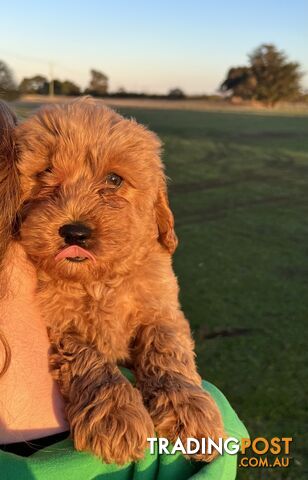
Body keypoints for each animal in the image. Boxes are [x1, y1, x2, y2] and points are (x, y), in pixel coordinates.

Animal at [10, 96, 221, 462]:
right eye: (45, 173)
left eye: (113, 179)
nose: (75, 232)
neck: (99, 281)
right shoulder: (59, 324)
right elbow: (88, 357)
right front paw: (116, 416)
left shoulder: (161, 307)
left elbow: (167, 348)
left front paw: (187, 407)